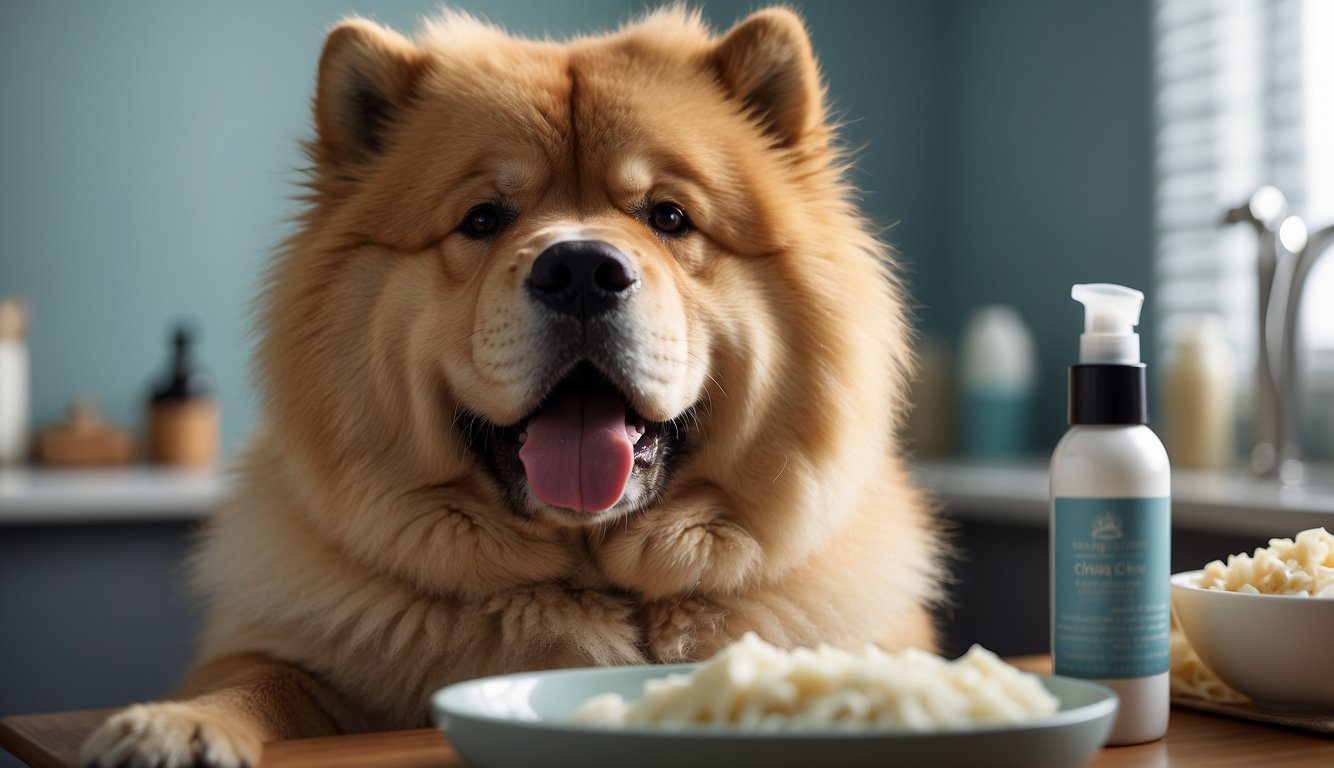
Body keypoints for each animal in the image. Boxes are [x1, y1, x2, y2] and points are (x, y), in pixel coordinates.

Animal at [80, 7, 939, 768]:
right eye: (484, 218)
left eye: (668, 217)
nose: (582, 269)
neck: (590, 582)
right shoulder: (282, 657)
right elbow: (259, 681)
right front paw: (176, 727)